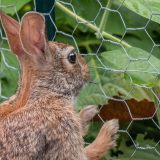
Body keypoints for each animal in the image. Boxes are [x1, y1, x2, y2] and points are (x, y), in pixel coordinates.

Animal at [0, 10, 119, 159]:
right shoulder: (64, 133)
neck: (45, 94)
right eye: (72, 57)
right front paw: (109, 131)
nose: (87, 72)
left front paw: (88, 112)